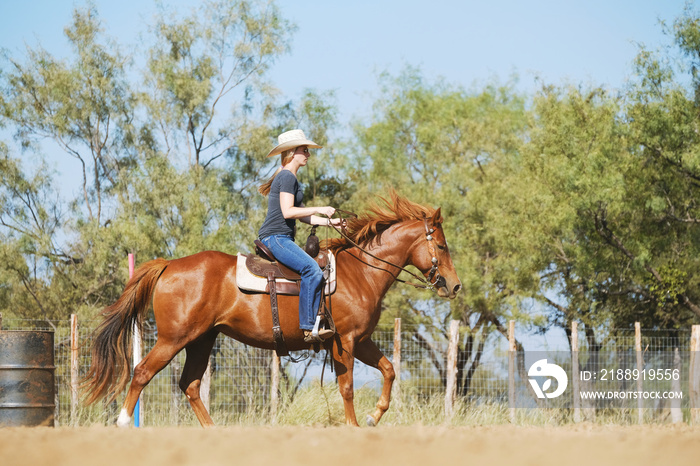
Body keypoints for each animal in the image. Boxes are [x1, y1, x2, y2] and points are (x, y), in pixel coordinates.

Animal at [83, 193, 460, 426]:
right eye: (442, 245)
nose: (455, 286)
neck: (361, 272)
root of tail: (169, 265)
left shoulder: (362, 340)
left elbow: (389, 370)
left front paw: (373, 416)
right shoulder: (346, 342)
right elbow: (348, 388)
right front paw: (355, 425)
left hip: (202, 339)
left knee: (190, 385)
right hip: (174, 338)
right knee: (142, 372)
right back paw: (122, 423)